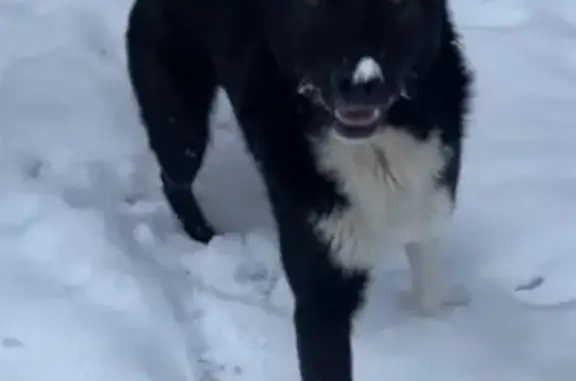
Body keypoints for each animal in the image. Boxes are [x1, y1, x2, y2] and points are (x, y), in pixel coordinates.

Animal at [126, 0, 472, 380]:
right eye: (314, 5)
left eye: (399, 6)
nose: (359, 83)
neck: (376, 148)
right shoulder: (322, 285)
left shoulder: (428, 209)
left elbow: (429, 290)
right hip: (181, 127)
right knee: (173, 178)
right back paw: (203, 234)